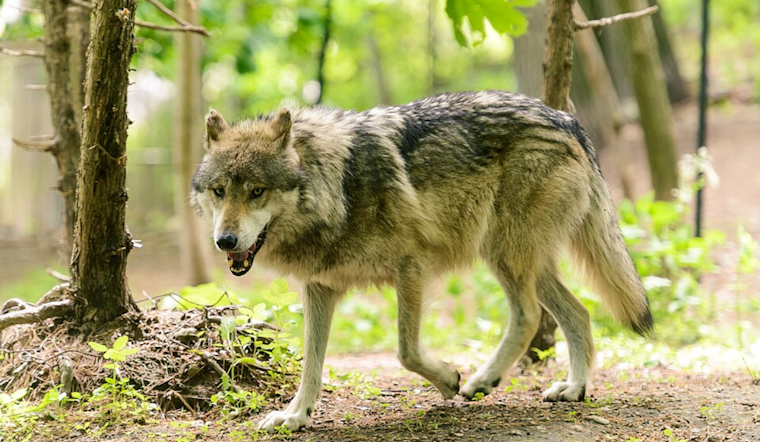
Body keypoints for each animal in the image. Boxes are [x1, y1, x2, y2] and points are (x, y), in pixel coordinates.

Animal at [190, 90, 653, 432]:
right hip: (523, 261)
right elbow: (312, 364)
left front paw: (449, 379)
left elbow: (406, 352)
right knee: (579, 313)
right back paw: (574, 388)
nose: (224, 240)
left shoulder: (411, 267)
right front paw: (294, 416)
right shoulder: (320, 287)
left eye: (256, 191)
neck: (338, 186)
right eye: (219, 191)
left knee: (528, 317)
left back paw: (483, 380)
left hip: (504, 254)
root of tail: (567, 120)